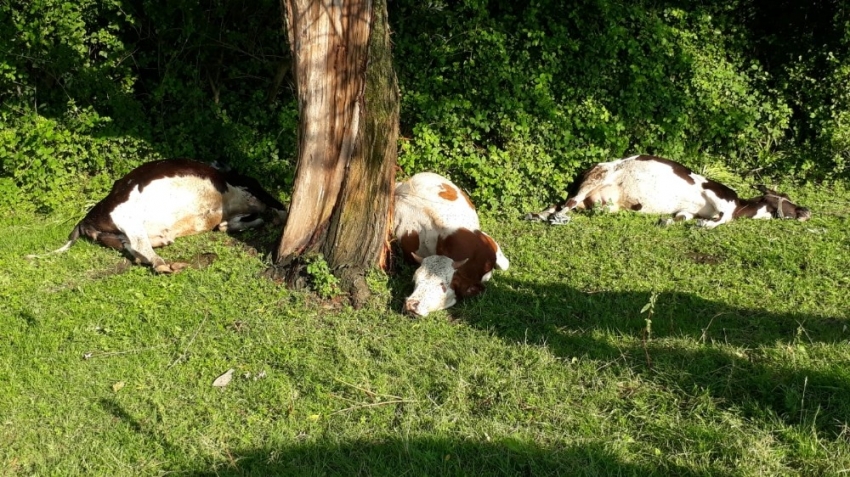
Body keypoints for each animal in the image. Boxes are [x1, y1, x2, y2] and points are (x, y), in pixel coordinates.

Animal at [29, 159, 284, 274]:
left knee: (132, 248)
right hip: (129, 215)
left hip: (117, 232)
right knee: (140, 246)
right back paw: (165, 264)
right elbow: (277, 209)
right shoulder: (251, 188)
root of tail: (86, 219)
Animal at [524, 152, 808, 227]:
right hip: (595, 180)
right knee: (565, 205)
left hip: (601, 202)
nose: (807, 211)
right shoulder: (714, 192)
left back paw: (535, 215)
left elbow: (682, 217)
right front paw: (706, 225)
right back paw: (555, 218)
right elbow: (724, 218)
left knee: (560, 203)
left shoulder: (689, 210)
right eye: (787, 199)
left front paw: (667, 221)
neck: (740, 204)